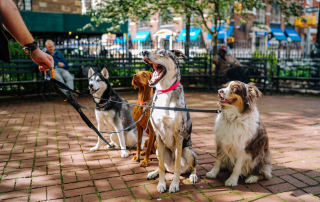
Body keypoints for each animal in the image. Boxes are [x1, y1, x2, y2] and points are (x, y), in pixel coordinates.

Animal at [142, 49, 198, 193]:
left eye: (162, 52)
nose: (143, 51)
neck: (164, 91)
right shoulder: (158, 135)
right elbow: (161, 166)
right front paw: (162, 184)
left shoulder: (178, 135)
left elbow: (178, 164)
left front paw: (174, 185)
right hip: (157, 150)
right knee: (165, 167)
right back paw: (153, 173)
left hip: (188, 151)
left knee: (193, 166)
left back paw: (193, 175)